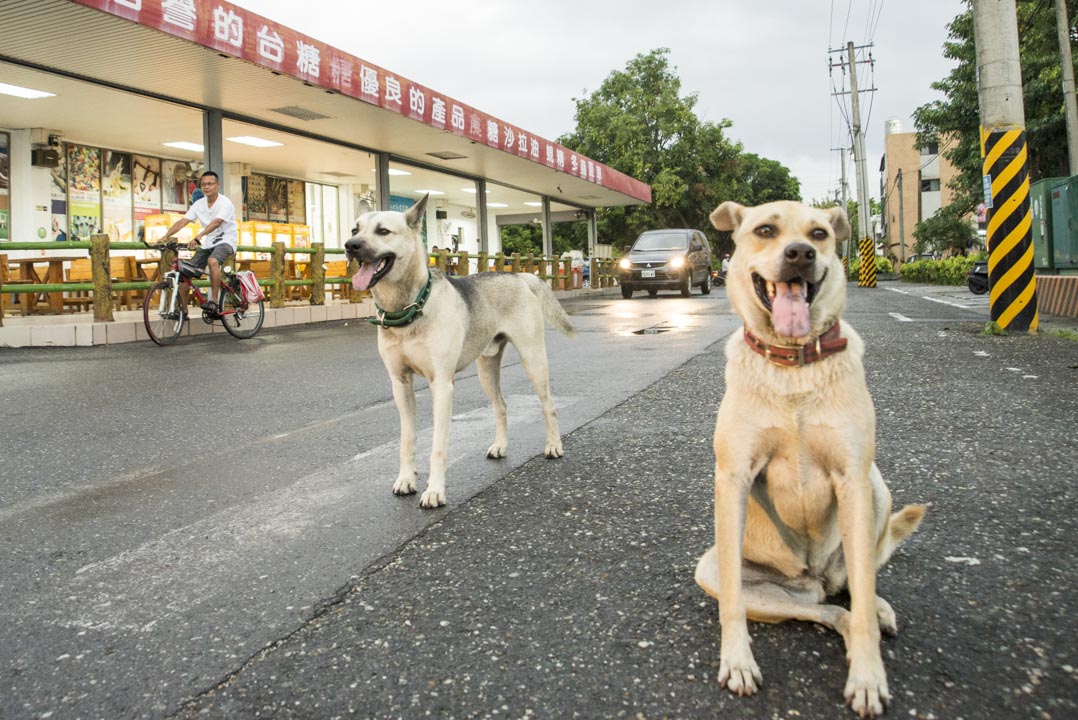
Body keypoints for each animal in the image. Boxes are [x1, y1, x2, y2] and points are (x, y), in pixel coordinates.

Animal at [349, 195, 577, 506]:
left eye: (383, 231)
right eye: (354, 229)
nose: (350, 246)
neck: (409, 308)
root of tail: (519, 276)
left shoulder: (442, 385)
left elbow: (438, 445)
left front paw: (434, 490)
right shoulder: (400, 384)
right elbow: (407, 440)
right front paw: (406, 479)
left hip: (533, 360)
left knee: (548, 405)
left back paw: (554, 445)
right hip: (486, 370)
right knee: (502, 406)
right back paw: (500, 446)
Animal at [698, 199, 927, 715]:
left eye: (819, 234)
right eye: (765, 231)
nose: (800, 253)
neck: (792, 363)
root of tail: (813, 577)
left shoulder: (852, 476)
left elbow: (862, 595)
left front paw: (868, 677)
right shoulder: (733, 477)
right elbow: (733, 603)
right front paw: (737, 661)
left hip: (876, 489)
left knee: (857, 586)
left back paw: (876, 609)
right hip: (719, 570)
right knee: (824, 608)